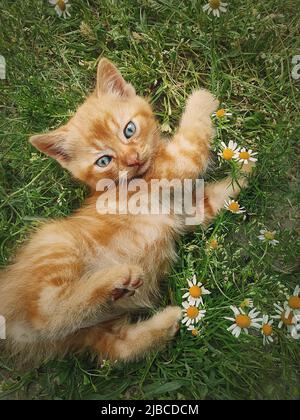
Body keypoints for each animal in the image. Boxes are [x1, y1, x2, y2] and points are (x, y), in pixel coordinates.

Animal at [0, 58, 250, 364]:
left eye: (129, 130)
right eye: (104, 160)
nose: (132, 160)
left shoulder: (187, 209)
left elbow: (212, 201)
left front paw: (244, 172)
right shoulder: (174, 165)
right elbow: (192, 141)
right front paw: (202, 98)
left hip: (92, 330)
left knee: (117, 348)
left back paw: (166, 318)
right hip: (57, 246)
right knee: (48, 315)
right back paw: (115, 278)